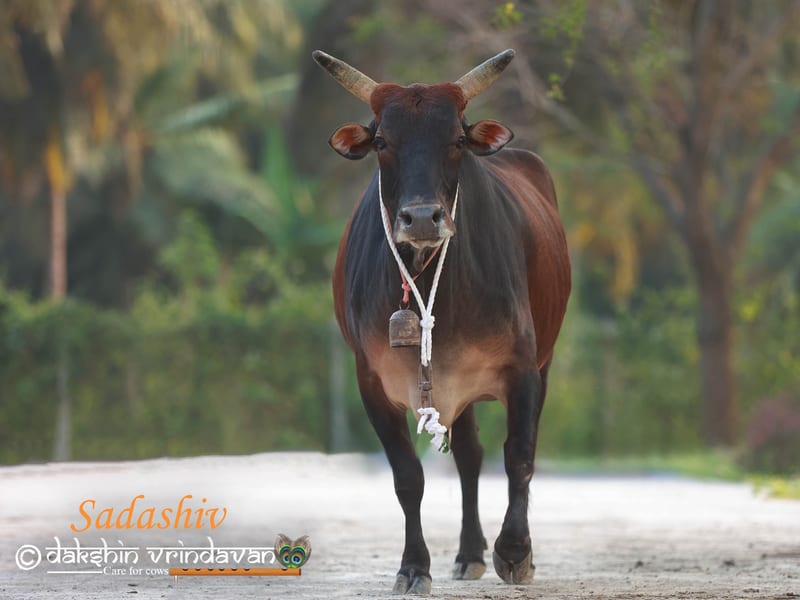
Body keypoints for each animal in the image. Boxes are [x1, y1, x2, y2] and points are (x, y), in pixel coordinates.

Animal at [313, 49, 571, 594]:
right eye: (382, 142)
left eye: (455, 140)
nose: (422, 218)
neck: (427, 275)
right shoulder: (372, 382)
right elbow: (408, 476)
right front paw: (414, 565)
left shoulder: (522, 368)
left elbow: (520, 454)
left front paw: (515, 552)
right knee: (469, 456)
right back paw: (468, 552)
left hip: (539, 363)